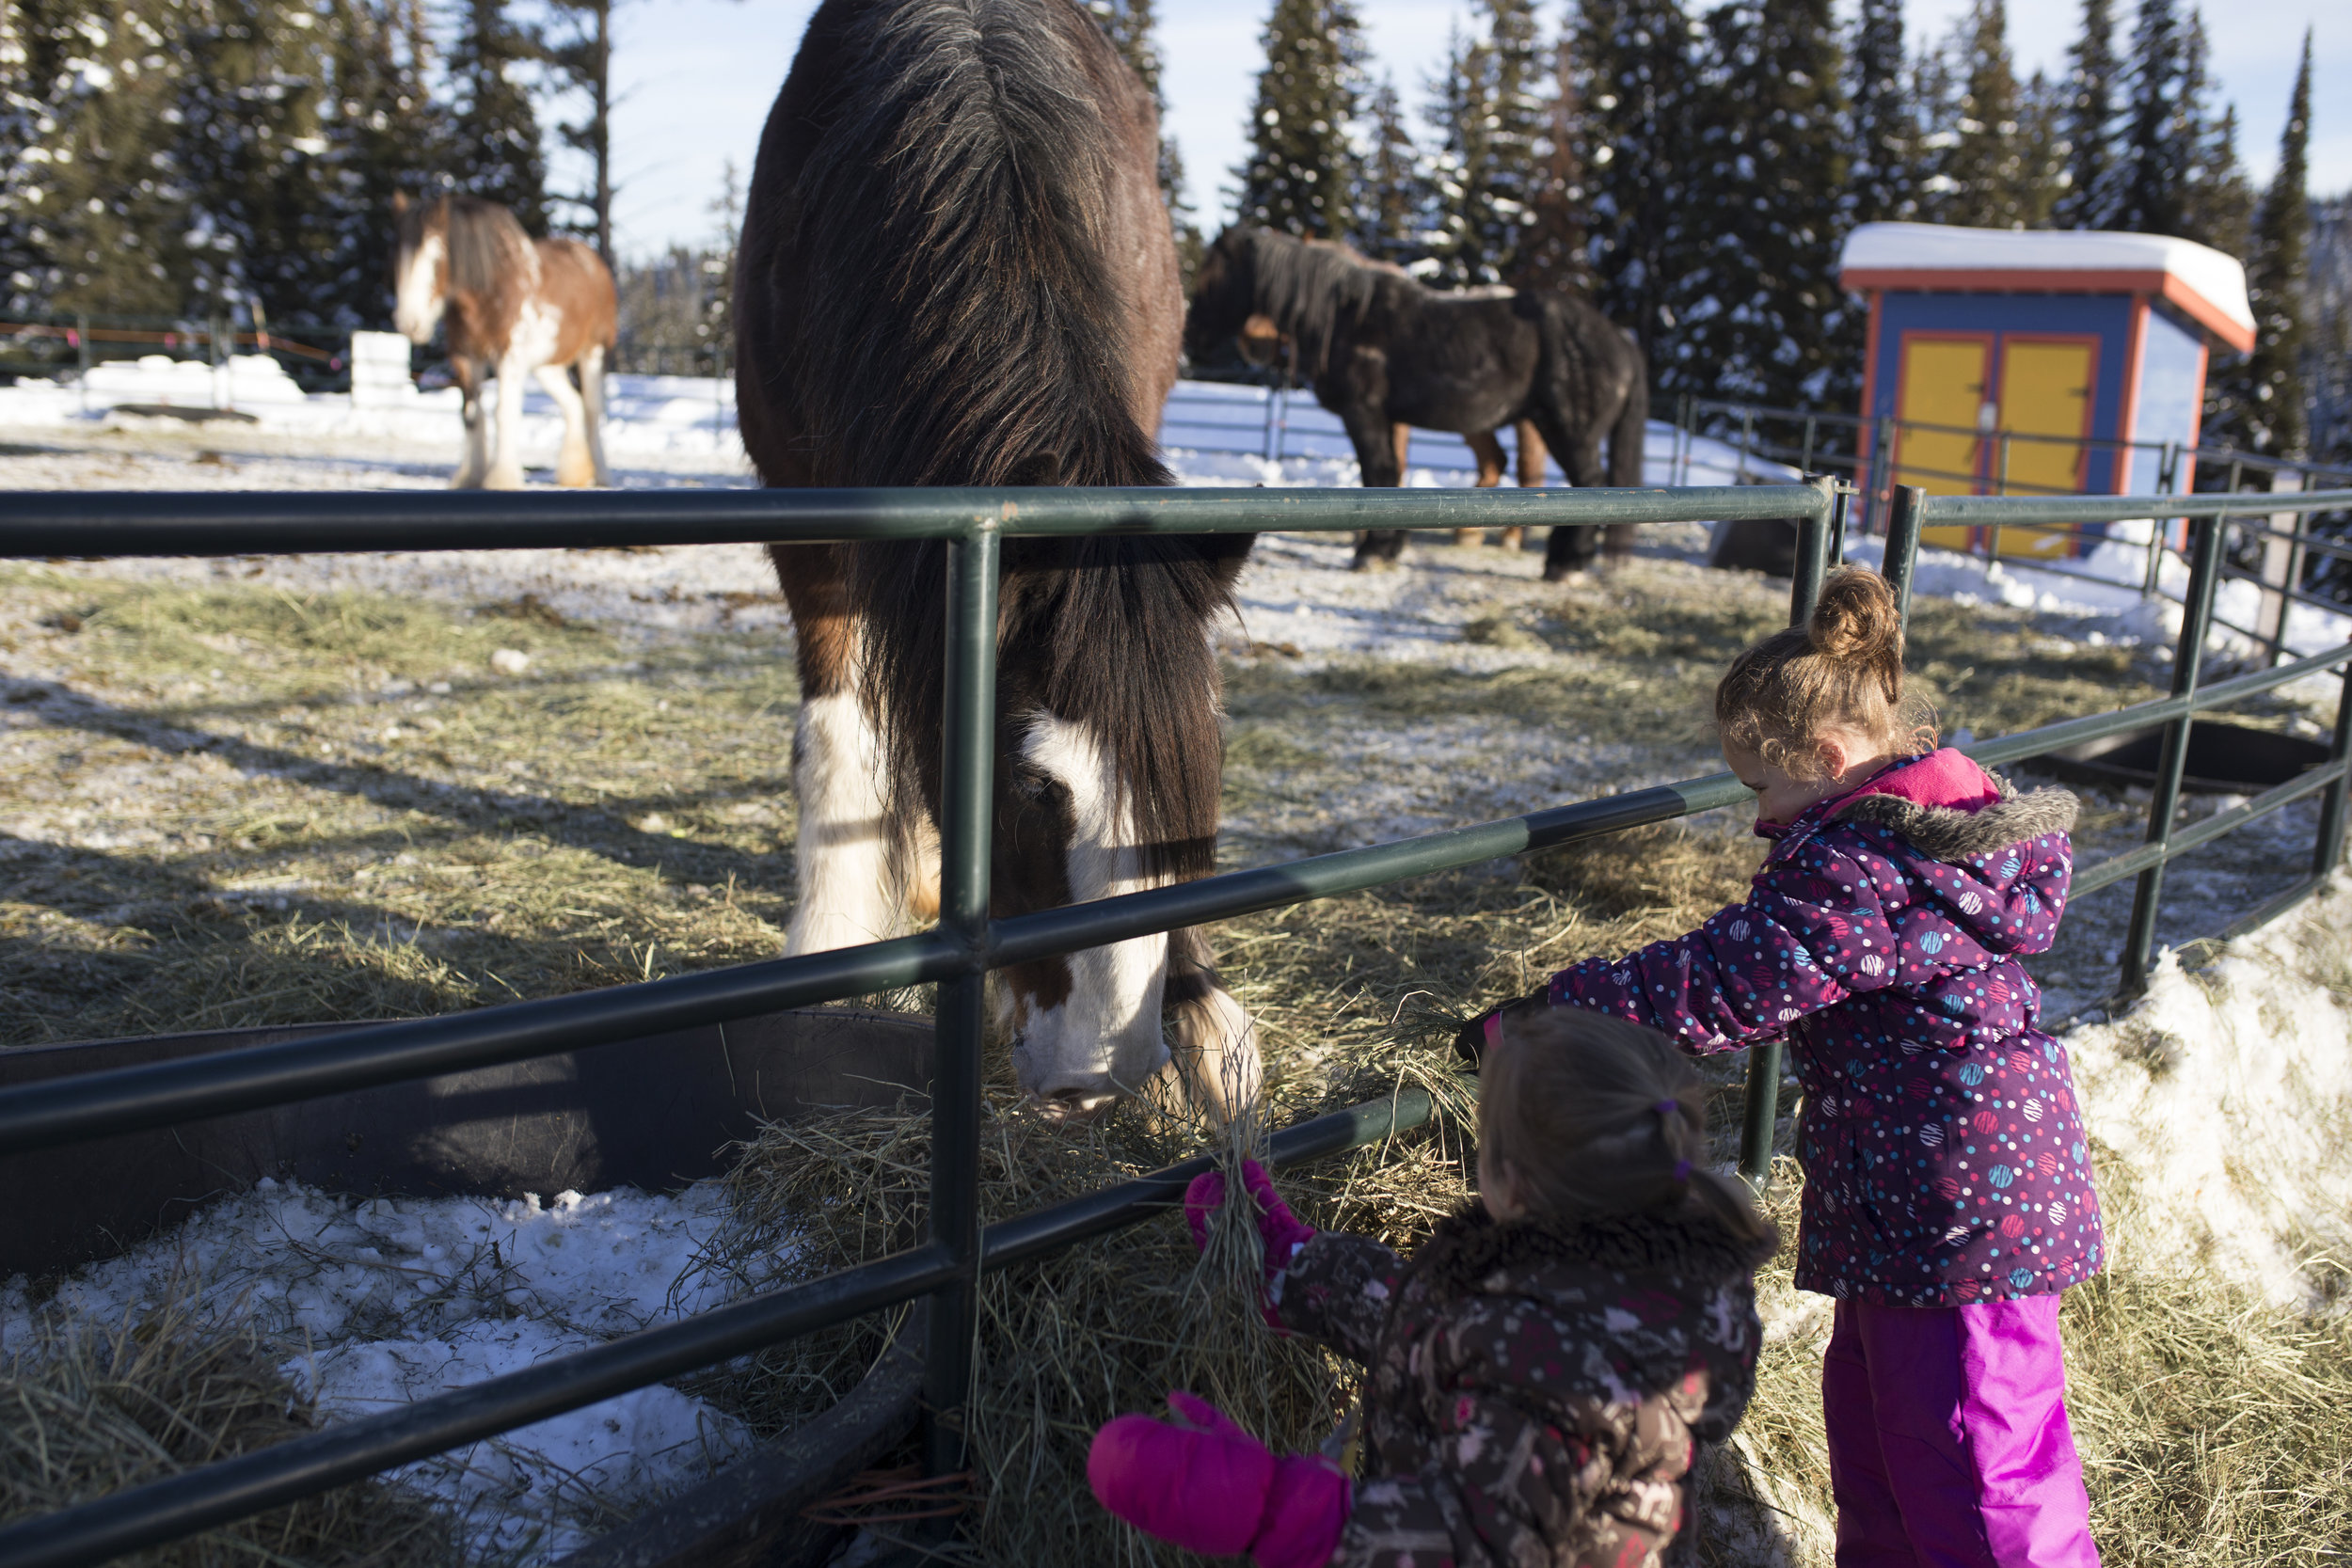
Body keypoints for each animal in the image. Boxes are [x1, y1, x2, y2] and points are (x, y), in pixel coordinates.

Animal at [386, 196, 612, 491]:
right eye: (397, 258)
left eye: (435, 259)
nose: (409, 323)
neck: (490, 293)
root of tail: (593, 261)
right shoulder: (466, 358)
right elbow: (471, 416)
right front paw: (470, 476)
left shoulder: (509, 357)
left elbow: (503, 412)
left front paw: (501, 478)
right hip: (546, 365)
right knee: (573, 404)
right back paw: (575, 473)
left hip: (592, 353)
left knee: (592, 410)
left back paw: (602, 473)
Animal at [739, 0, 1270, 1128]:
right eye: (1033, 791)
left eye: (1198, 766)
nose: (1101, 1073)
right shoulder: (806, 523)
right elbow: (837, 743)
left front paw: (1207, 1016)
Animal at [1185, 223, 1646, 580]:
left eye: (1211, 279)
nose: (1194, 339)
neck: (1347, 316)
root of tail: (1621, 340)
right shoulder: (1388, 420)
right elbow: (1389, 478)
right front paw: (1387, 548)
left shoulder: (1364, 414)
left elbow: (1379, 473)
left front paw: (1371, 552)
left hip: (1567, 430)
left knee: (1593, 484)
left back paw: (1566, 565)